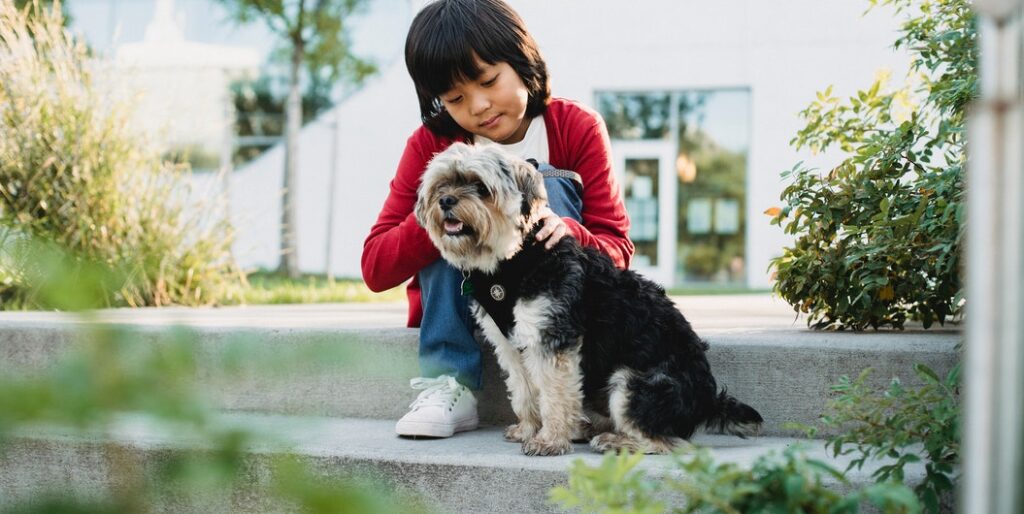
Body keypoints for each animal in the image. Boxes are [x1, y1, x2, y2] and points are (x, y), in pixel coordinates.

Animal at [413, 142, 761, 456]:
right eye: (442, 184)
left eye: (481, 188)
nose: (445, 200)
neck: (514, 260)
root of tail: (709, 400)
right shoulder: (510, 344)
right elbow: (524, 391)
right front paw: (528, 428)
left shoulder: (553, 339)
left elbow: (554, 394)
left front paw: (550, 440)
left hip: (632, 382)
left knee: (667, 442)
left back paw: (616, 441)